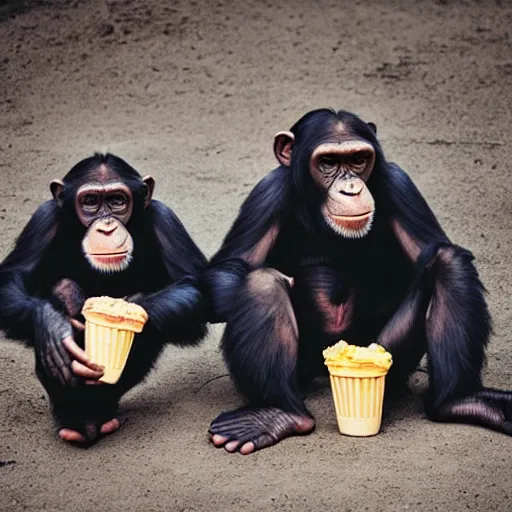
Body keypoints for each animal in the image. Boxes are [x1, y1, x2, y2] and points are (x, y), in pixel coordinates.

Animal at [0, 153, 208, 444]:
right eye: (90, 202)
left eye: (117, 201)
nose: (107, 226)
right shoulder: (43, 219)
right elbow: (11, 277)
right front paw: (52, 326)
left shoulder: (165, 219)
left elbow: (197, 289)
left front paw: (130, 309)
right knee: (65, 288)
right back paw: (76, 420)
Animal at [206, 107, 512, 452]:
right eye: (328, 162)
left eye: (358, 160)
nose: (351, 187)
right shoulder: (267, 192)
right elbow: (232, 267)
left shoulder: (399, 184)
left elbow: (436, 247)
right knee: (262, 283)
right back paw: (274, 413)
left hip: (388, 355)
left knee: (448, 261)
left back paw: (460, 400)